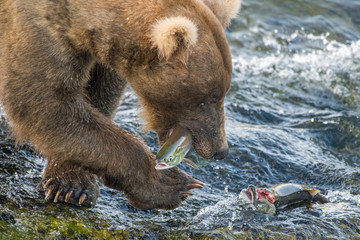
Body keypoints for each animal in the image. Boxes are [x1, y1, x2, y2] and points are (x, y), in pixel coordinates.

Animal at [0, 0, 242, 210]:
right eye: (206, 97)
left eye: (223, 92)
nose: (220, 150)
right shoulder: (37, 28)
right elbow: (44, 101)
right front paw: (170, 183)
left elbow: (98, 92)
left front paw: (72, 183)